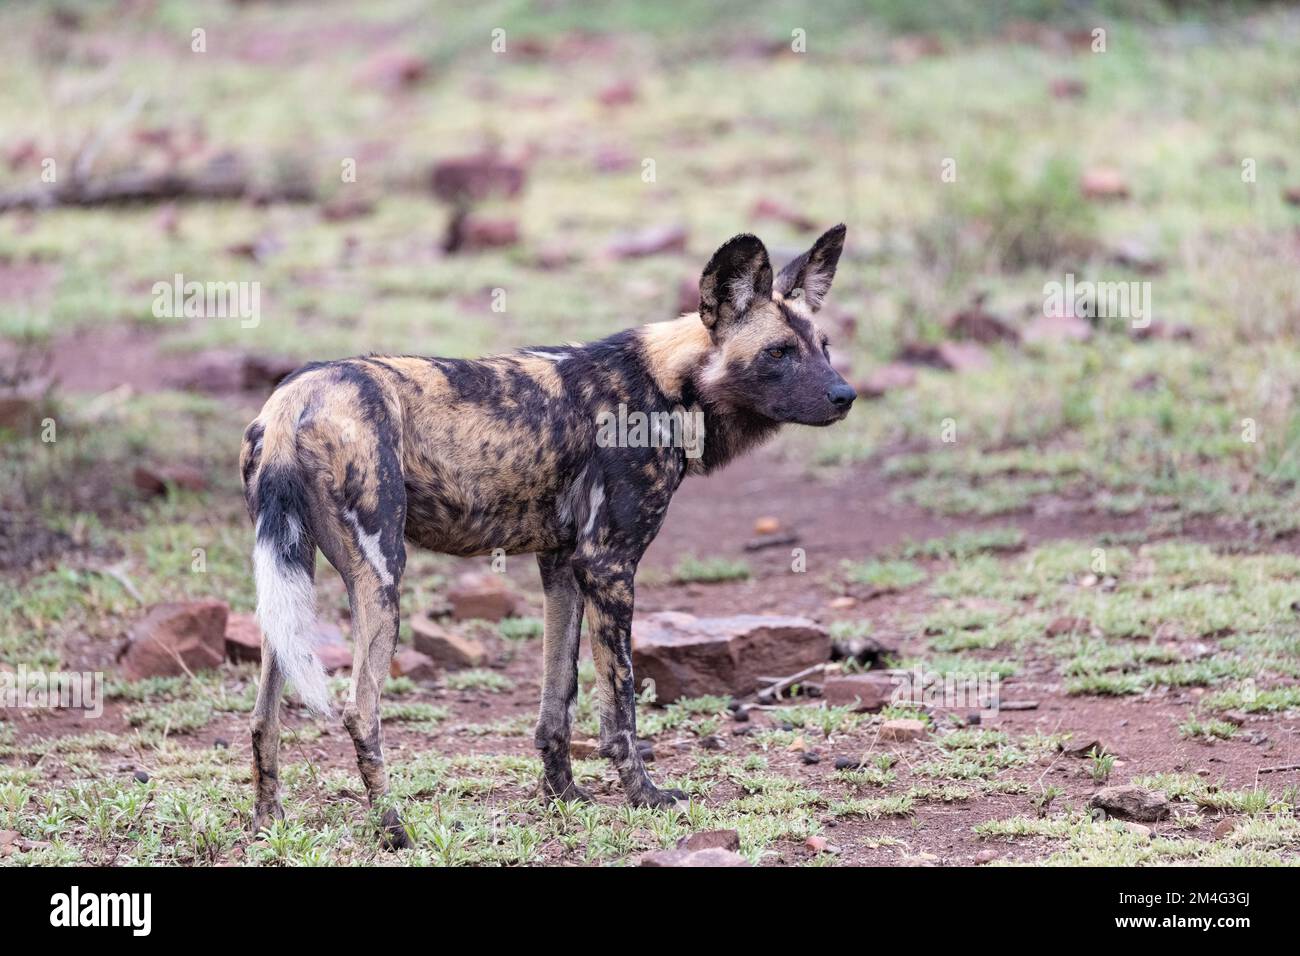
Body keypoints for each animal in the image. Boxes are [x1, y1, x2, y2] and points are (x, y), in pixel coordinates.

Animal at [240, 223, 857, 842]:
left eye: (824, 347)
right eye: (778, 353)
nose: (845, 396)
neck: (669, 385)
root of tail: (294, 397)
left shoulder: (563, 564)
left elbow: (557, 699)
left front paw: (563, 797)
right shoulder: (609, 566)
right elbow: (620, 707)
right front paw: (645, 796)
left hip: (288, 581)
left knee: (264, 714)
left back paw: (270, 822)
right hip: (382, 574)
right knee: (359, 711)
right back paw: (393, 827)